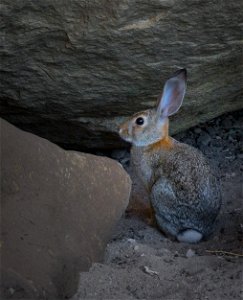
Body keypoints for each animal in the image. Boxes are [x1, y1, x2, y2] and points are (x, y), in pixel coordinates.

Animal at [118, 69, 221, 243]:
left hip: (159, 192)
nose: (119, 130)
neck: (153, 142)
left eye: (139, 121)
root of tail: (195, 230)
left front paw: (149, 220)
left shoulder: (149, 183)